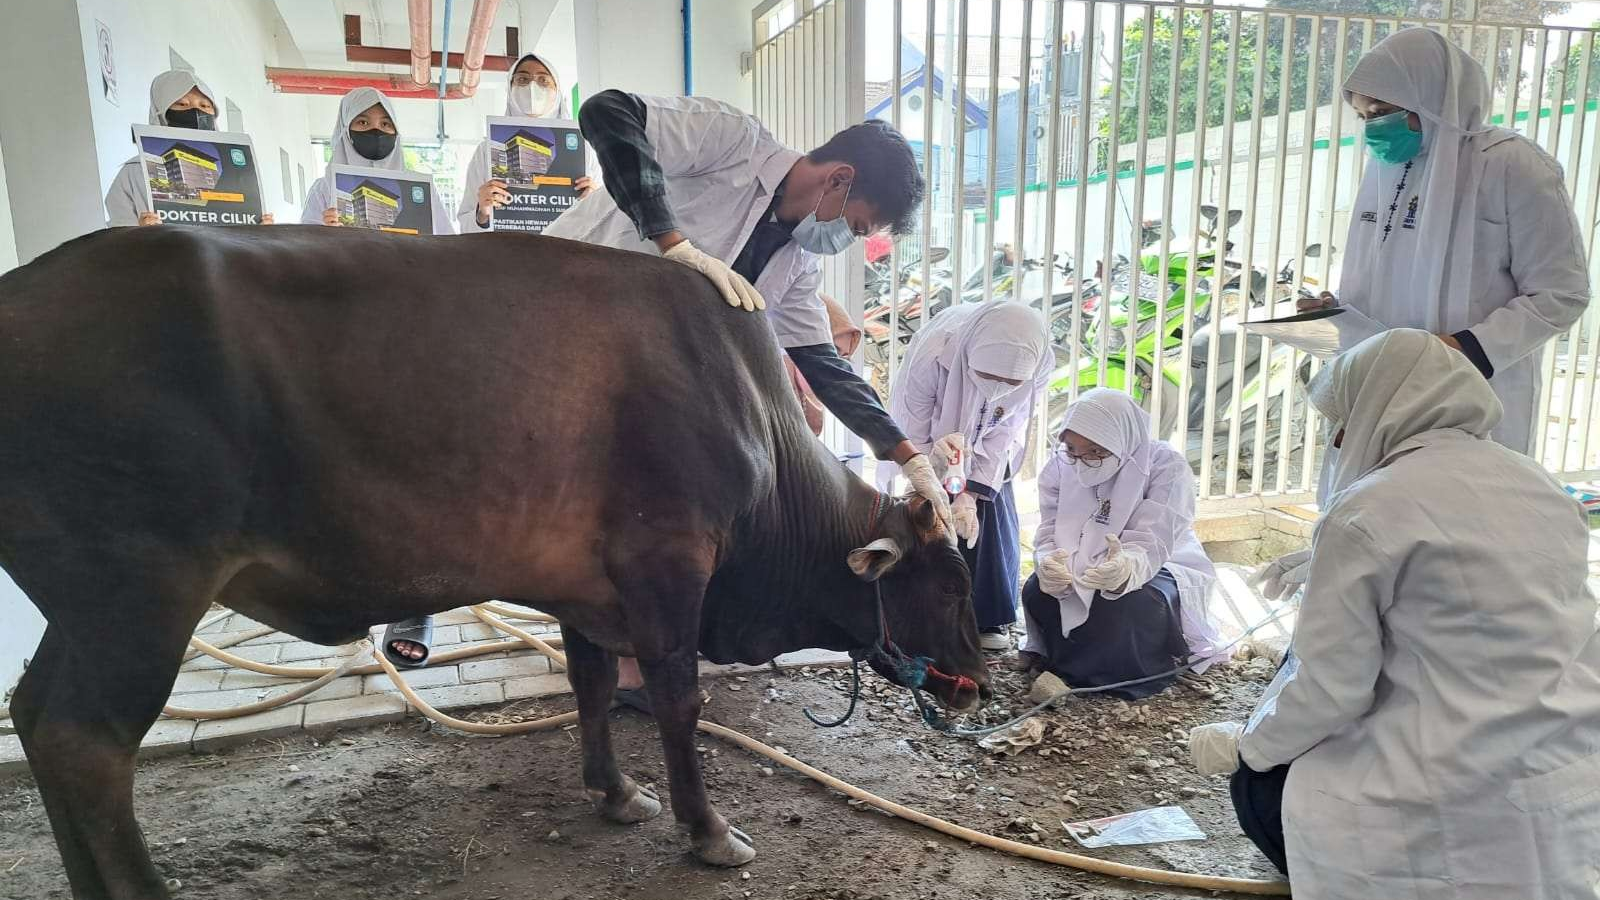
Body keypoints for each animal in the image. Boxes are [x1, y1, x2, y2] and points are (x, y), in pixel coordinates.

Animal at [0, 225, 992, 896]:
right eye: (950, 584)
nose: (978, 683)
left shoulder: (585, 587)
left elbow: (592, 685)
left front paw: (614, 793)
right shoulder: (667, 566)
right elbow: (678, 703)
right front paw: (706, 830)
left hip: (86, 609)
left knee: (36, 716)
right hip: (136, 595)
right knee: (84, 742)